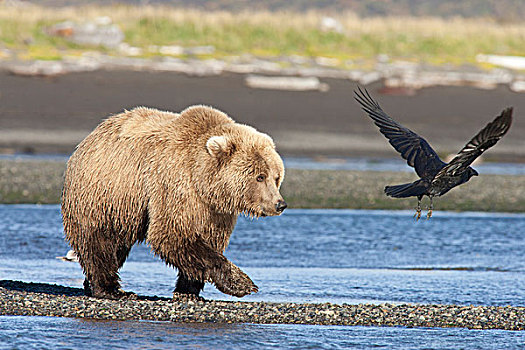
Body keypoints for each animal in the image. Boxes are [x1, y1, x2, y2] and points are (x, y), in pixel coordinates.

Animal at [61, 105, 286, 300]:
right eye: (260, 176)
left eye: (276, 177)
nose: (280, 204)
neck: (203, 181)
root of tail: (89, 138)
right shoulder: (174, 186)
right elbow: (171, 235)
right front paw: (243, 284)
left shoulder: (214, 212)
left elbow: (207, 240)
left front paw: (188, 290)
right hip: (106, 194)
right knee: (100, 241)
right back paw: (110, 289)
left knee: (117, 246)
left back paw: (92, 284)